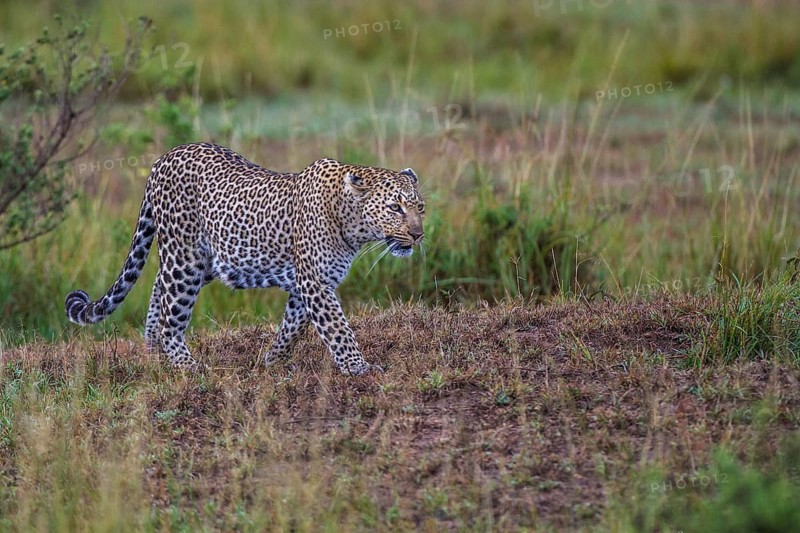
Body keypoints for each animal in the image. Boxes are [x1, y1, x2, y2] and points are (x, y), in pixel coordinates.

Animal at [64, 142, 425, 375]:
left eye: (419, 207)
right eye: (394, 208)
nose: (418, 234)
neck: (350, 221)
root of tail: (162, 159)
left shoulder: (304, 284)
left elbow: (294, 325)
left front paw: (272, 360)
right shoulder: (315, 282)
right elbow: (337, 328)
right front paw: (358, 367)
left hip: (202, 259)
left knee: (158, 291)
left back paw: (154, 355)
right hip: (186, 259)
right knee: (171, 316)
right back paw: (186, 366)